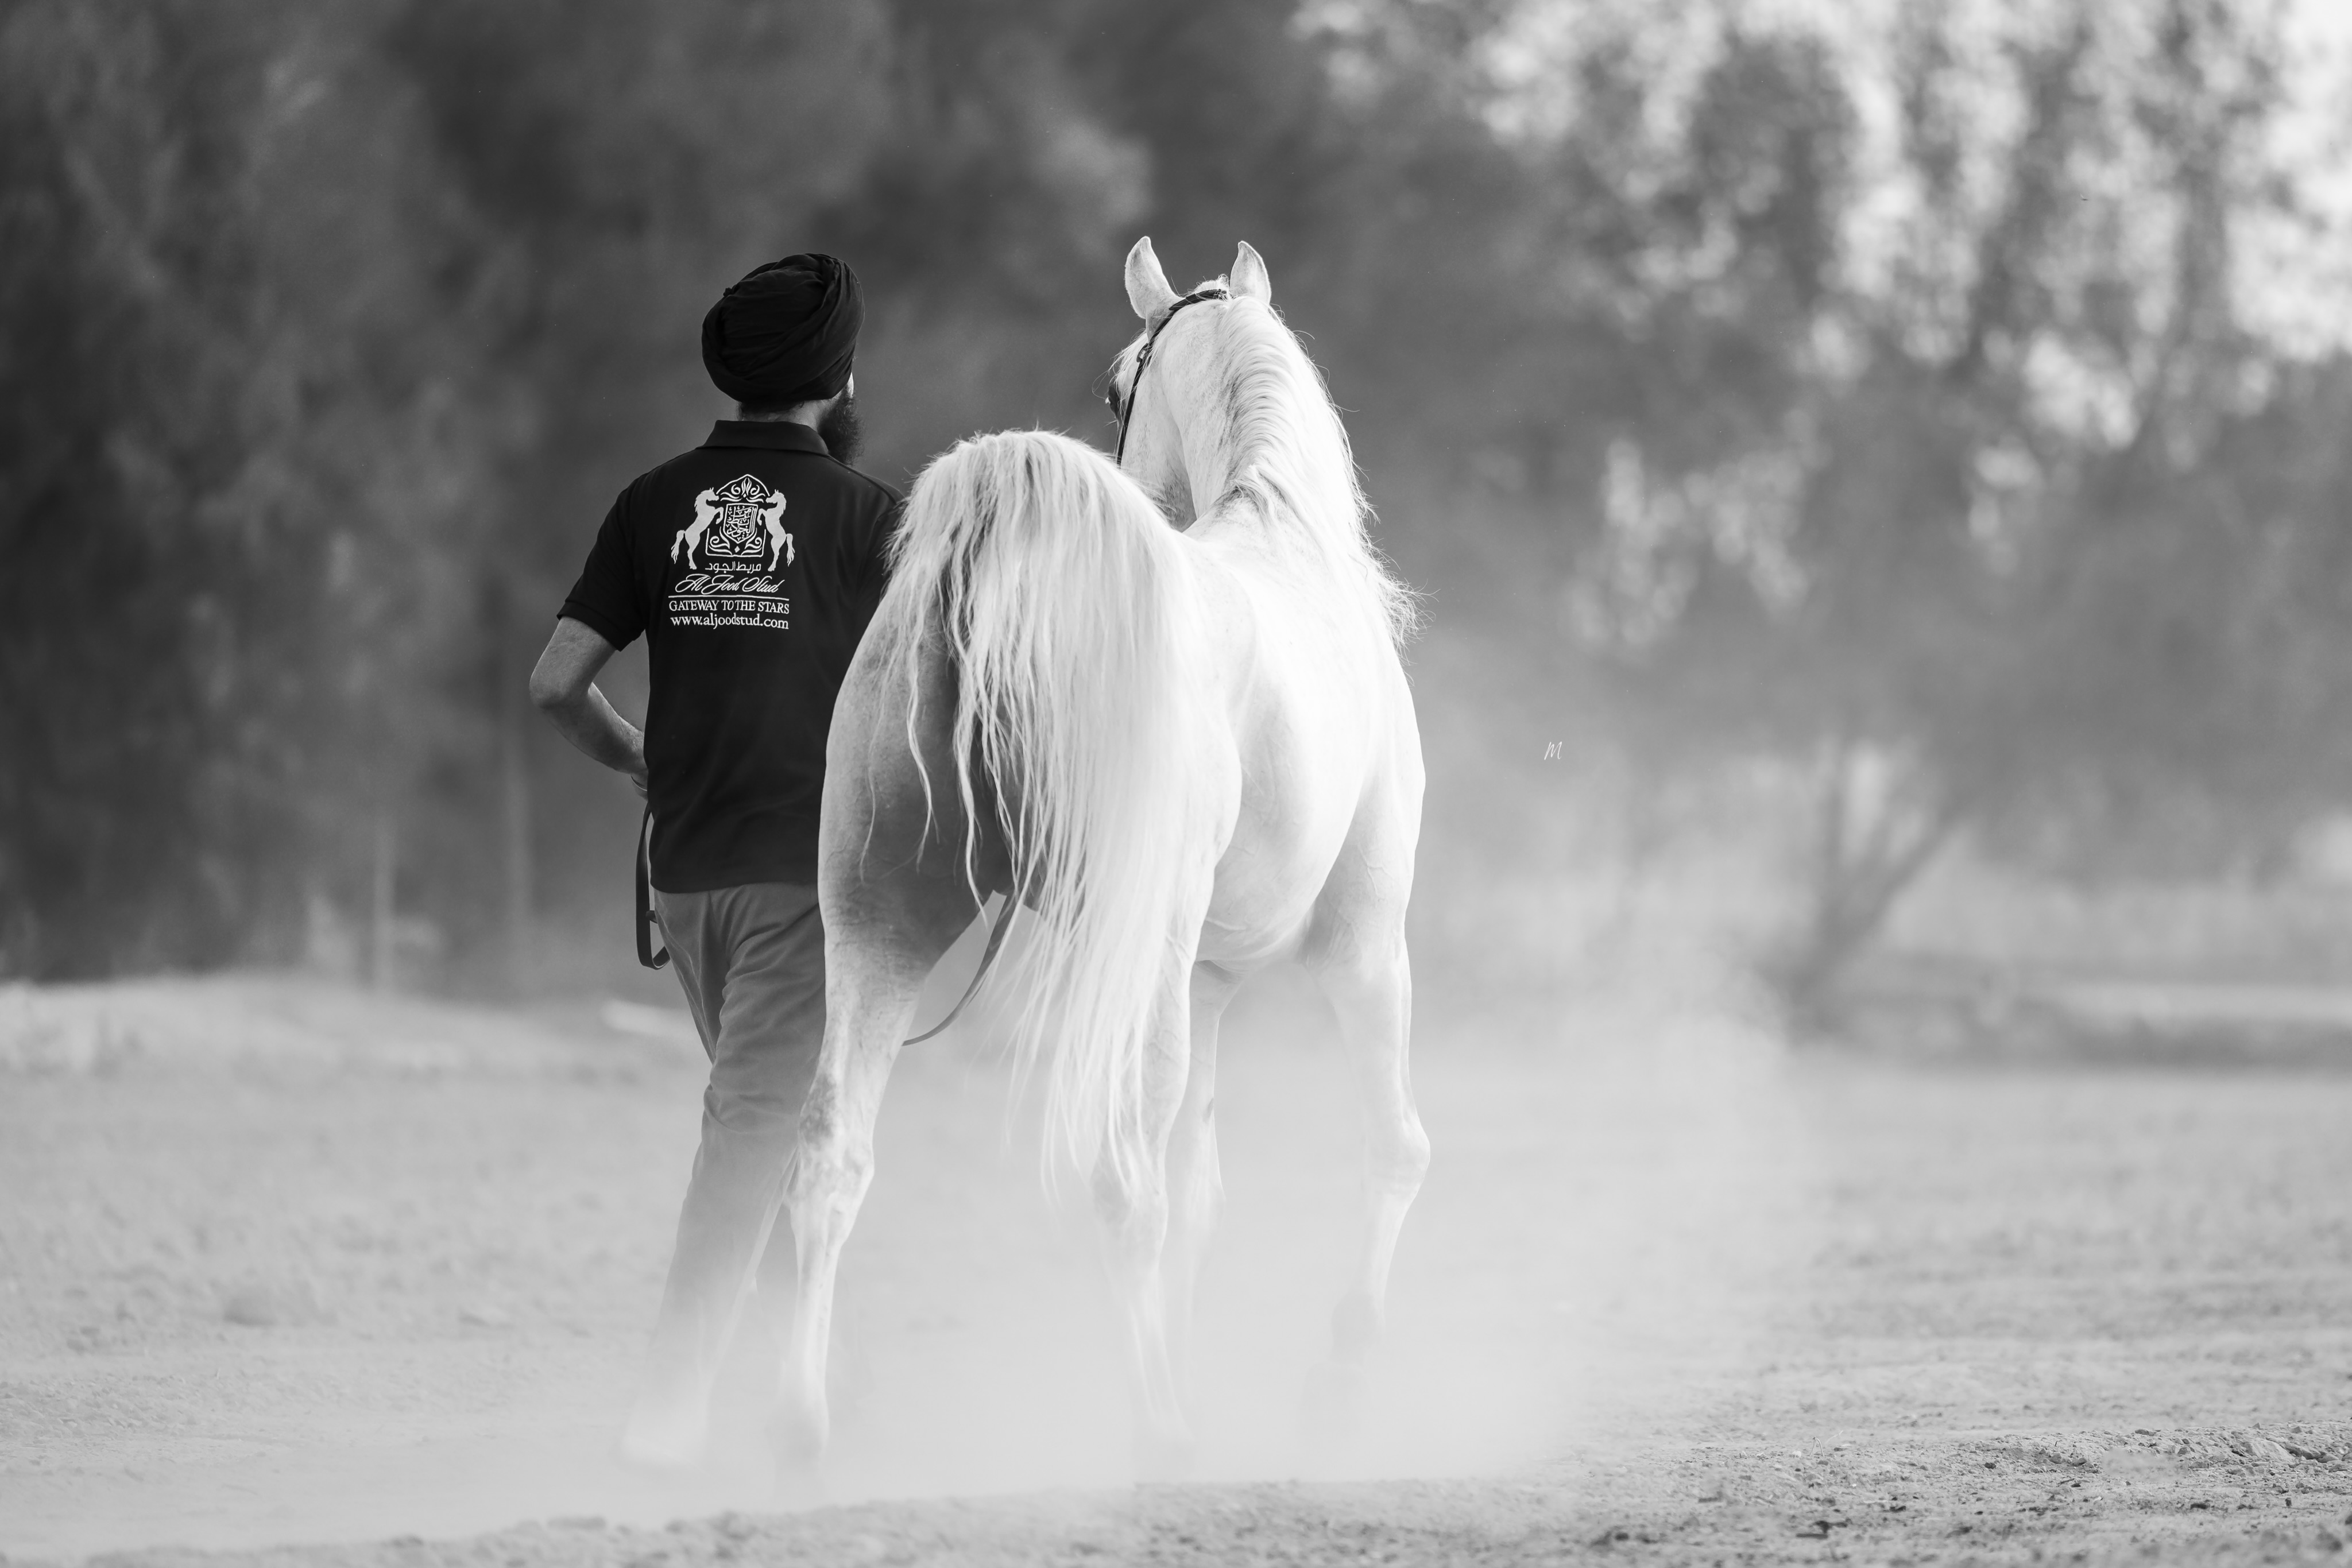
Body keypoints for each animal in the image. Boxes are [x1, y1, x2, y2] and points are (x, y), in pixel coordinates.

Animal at [775, 238, 1428, 1477]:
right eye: (1116, 388)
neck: (1284, 536)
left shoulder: (1207, 980)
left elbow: (1201, 1190)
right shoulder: (1361, 946)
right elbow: (1389, 1147)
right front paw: (1345, 1366)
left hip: (878, 928)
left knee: (830, 1155)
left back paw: (798, 1428)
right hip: (1147, 965)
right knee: (1120, 1180)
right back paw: (1158, 1429)